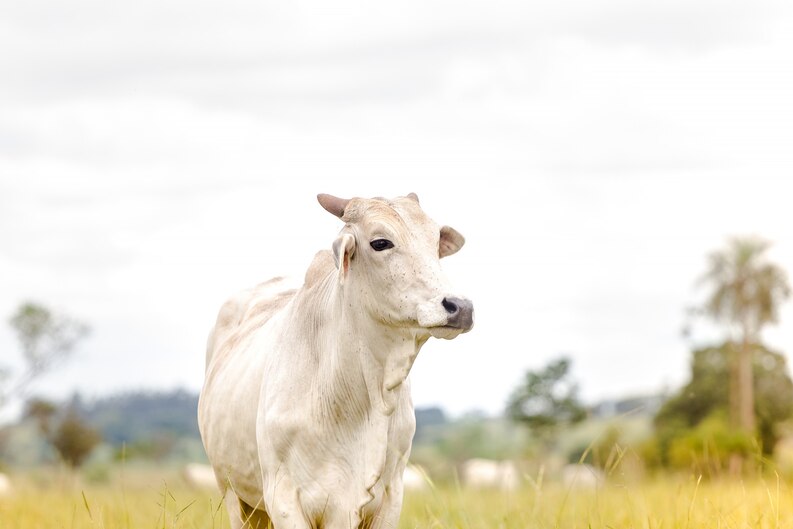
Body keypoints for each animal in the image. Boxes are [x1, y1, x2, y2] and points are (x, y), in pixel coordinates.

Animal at [198, 194, 474, 528]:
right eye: (380, 243)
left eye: (435, 242)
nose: (460, 307)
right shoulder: (284, 498)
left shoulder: (389, 498)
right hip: (232, 494)